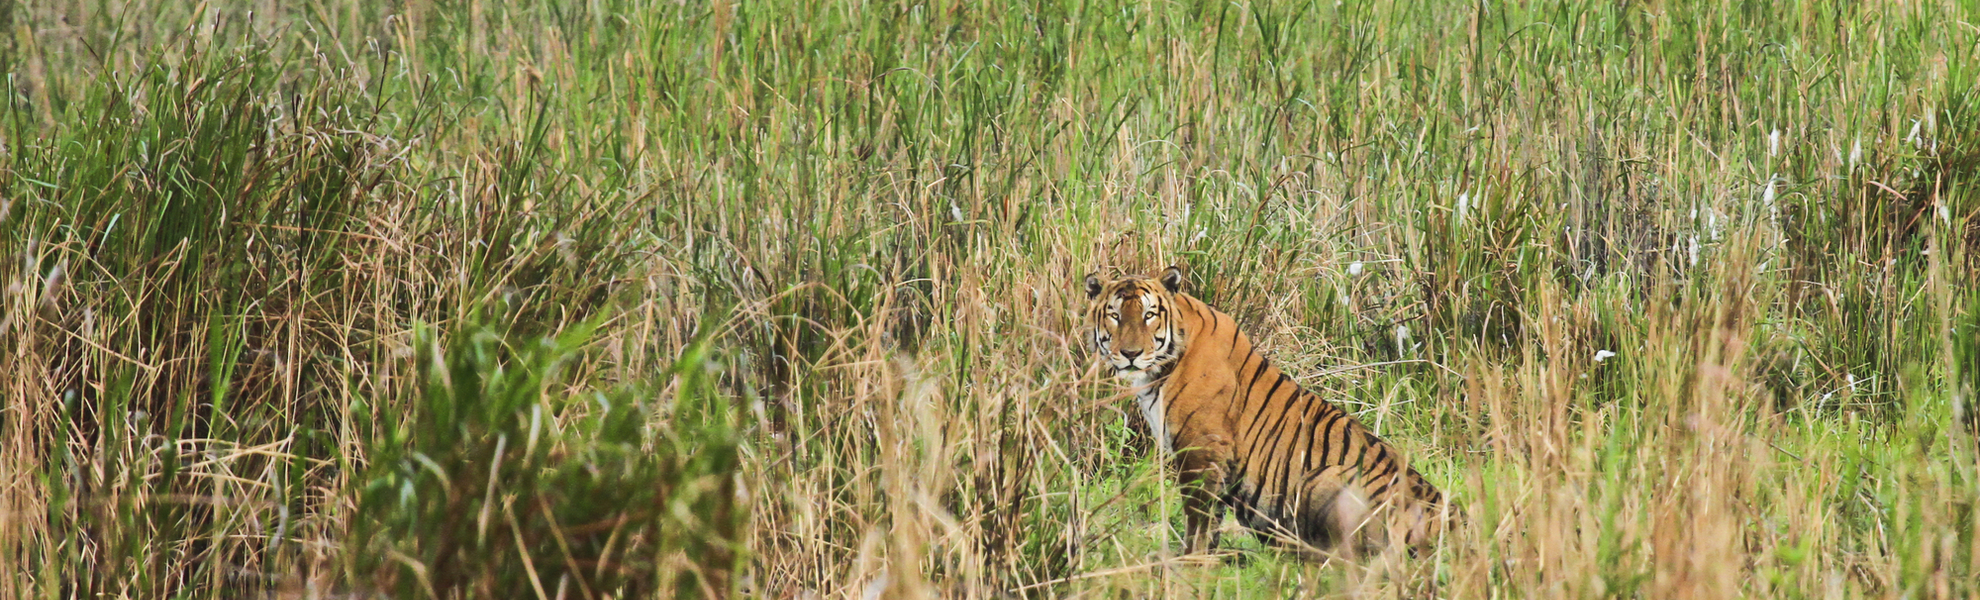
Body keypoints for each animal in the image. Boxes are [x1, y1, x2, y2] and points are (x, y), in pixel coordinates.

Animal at [1083, 266, 1452, 556]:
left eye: (1149, 315)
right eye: (1115, 315)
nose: (1130, 354)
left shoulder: (1201, 448)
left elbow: (1198, 517)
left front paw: (1190, 561)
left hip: (1324, 478)